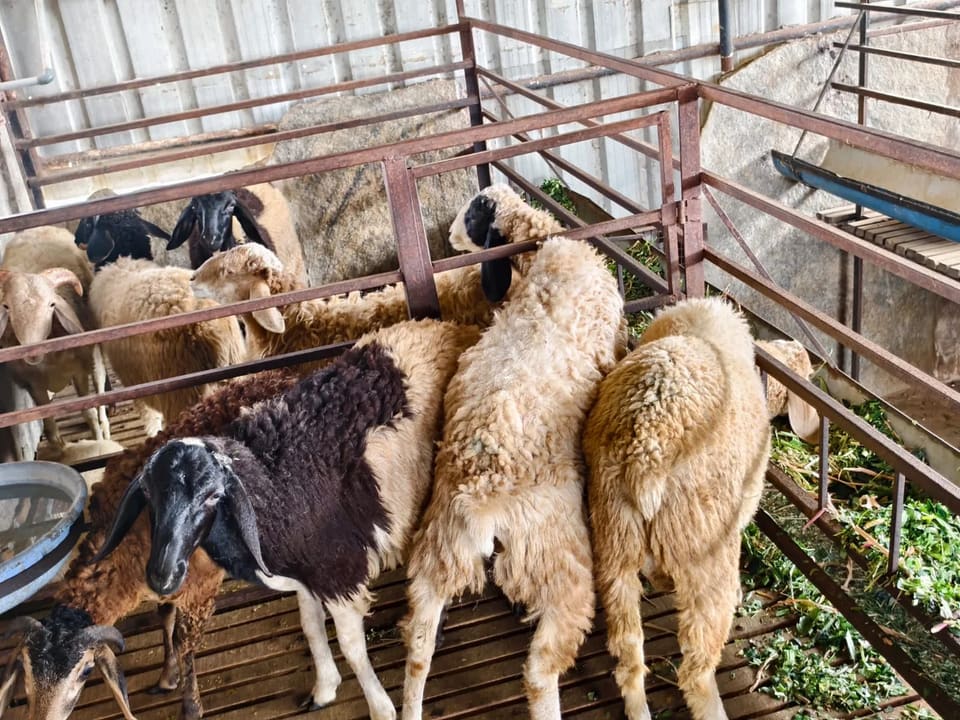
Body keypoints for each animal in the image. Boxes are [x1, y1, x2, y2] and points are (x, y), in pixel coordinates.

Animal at [0, 227, 110, 446]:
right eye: (6, 306)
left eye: (52, 304)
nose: (31, 352)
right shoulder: (34, 386)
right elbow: (51, 429)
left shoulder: (79, 371)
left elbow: (89, 413)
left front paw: (99, 441)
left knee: (100, 391)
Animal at [0, 367, 302, 720]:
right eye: (24, 670)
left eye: (86, 672)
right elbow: (164, 619)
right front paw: (167, 675)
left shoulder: (200, 588)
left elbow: (185, 644)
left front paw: (191, 705)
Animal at [96, 319, 482, 720]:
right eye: (149, 496)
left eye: (212, 495)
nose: (162, 574)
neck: (272, 483)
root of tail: (452, 326)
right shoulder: (303, 577)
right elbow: (311, 627)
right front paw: (325, 687)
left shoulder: (337, 573)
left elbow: (351, 647)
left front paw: (380, 708)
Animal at [581, 297, 772, 720]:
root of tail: (645, 450)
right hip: (703, 549)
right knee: (695, 670)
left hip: (615, 538)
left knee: (628, 654)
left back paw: (637, 707)